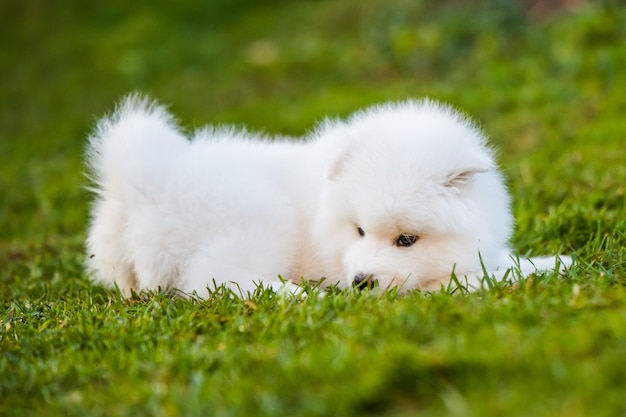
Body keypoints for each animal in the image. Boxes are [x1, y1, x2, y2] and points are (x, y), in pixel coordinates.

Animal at [85, 94, 568, 296]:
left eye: (406, 239)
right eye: (360, 231)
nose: (361, 282)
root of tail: (145, 184)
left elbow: (500, 258)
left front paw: (550, 262)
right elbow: (462, 278)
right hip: (256, 223)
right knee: (217, 284)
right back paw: (301, 296)